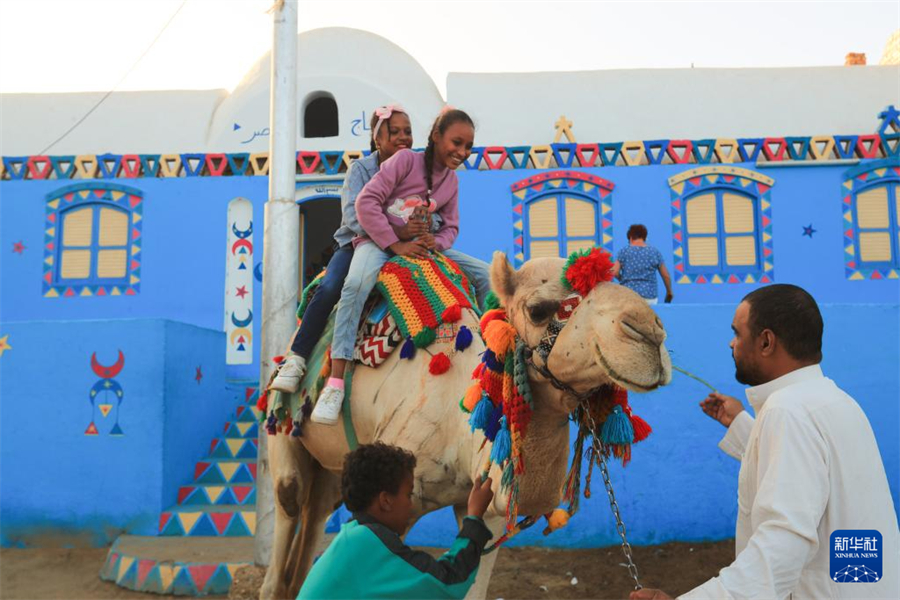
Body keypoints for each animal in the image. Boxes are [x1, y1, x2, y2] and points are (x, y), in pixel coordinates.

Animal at [258, 252, 668, 600]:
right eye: (538, 310)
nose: (649, 332)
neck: (458, 422)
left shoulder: (483, 509)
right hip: (283, 429)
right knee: (287, 513)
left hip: (332, 470)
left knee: (313, 522)